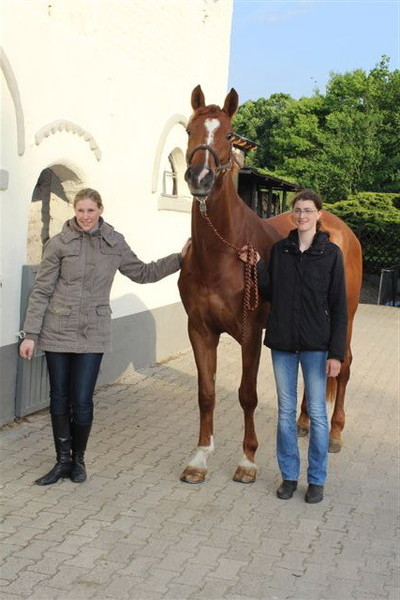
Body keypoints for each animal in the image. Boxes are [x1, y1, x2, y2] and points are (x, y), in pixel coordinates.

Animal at [178, 85, 362, 484]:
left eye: (229, 134)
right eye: (188, 130)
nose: (199, 178)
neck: (223, 252)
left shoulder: (251, 333)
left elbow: (247, 394)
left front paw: (247, 460)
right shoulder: (200, 329)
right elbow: (206, 393)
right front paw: (199, 458)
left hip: (347, 318)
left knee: (343, 367)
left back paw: (335, 432)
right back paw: (306, 422)